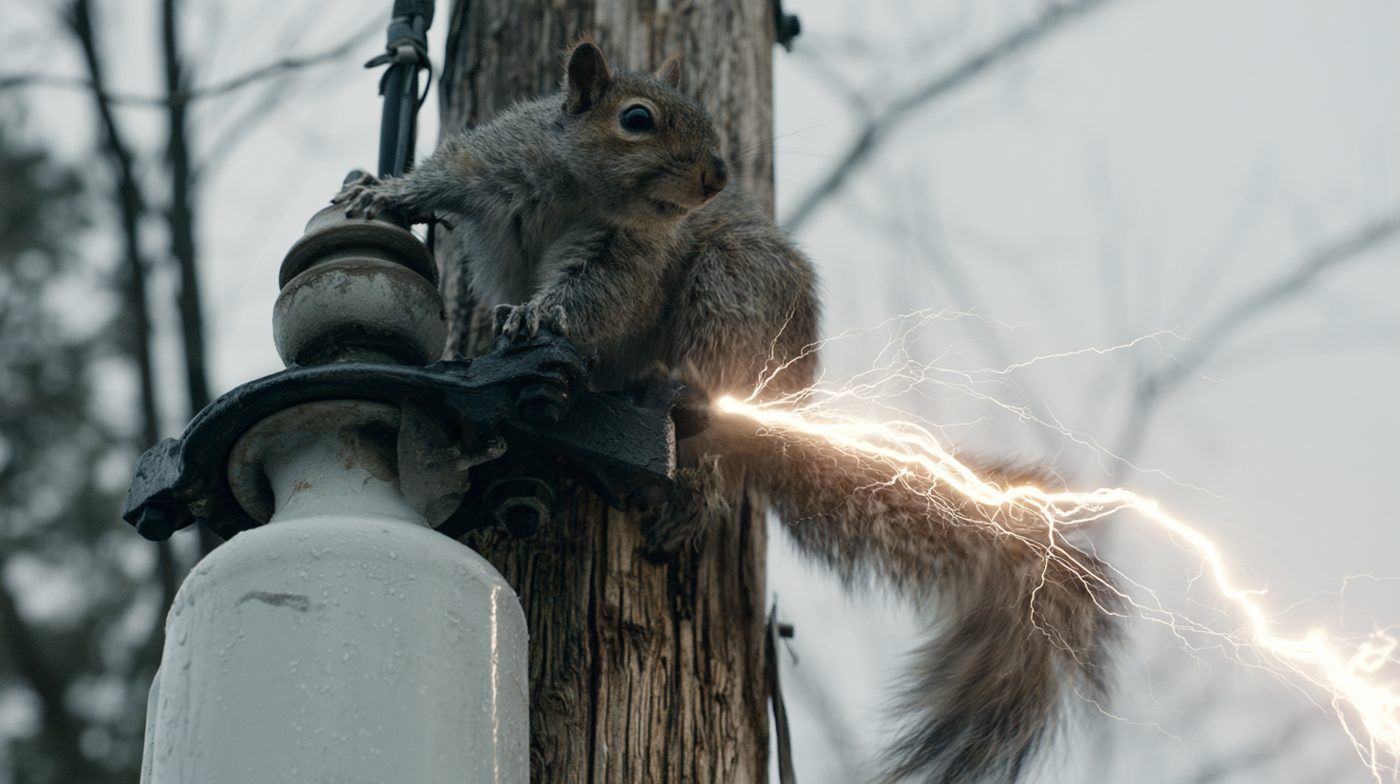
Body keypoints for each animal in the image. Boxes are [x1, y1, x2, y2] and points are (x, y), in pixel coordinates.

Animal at [334, 40, 1119, 784]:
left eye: (710, 120)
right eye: (637, 119)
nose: (714, 176)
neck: (578, 192)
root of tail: (784, 405)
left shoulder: (628, 258)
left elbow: (593, 299)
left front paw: (536, 315)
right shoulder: (498, 160)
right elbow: (447, 172)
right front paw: (381, 194)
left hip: (731, 290)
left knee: (709, 441)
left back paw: (684, 468)